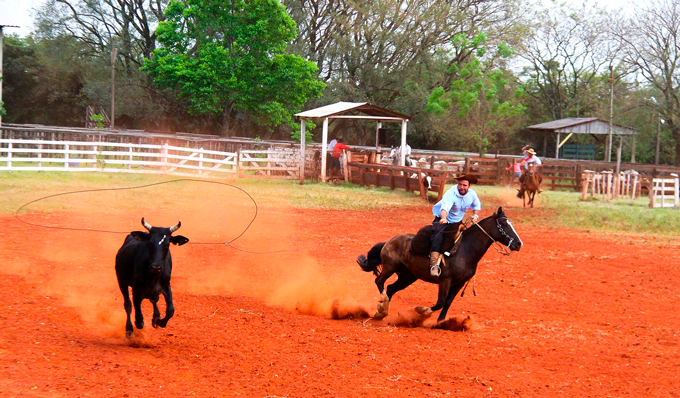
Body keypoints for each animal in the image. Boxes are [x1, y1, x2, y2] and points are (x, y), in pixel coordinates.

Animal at [358, 208, 524, 324]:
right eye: (503, 224)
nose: (518, 243)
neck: (464, 250)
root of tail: (389, 241)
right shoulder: (445, 281)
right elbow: (440, 302)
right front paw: (422, 311)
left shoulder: (459, 283)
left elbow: (448, 302)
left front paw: (441, 322)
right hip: (390, 267)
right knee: (380, 282)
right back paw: (383, 303)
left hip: (408, 276)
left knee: (391, 288)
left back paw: (382, 311)